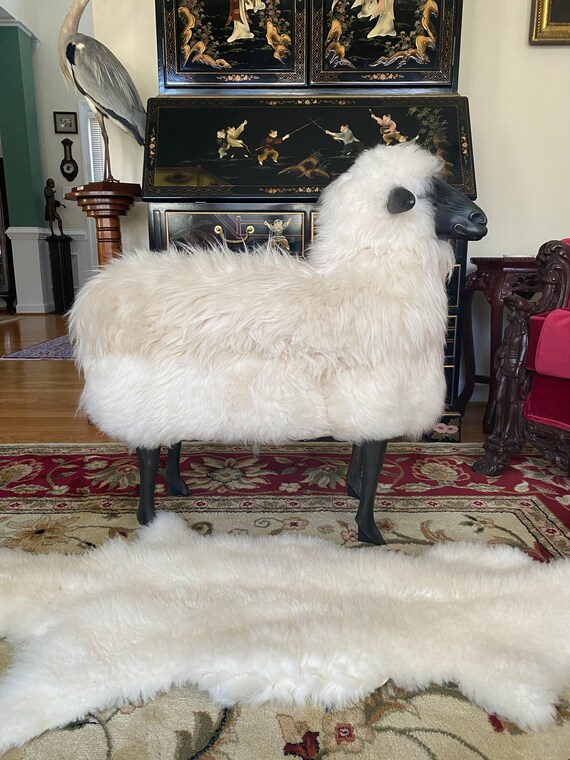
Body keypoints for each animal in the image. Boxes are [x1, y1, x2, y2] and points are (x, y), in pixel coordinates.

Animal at [69, 142, 487, 544]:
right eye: (427, 195)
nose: (480, 219)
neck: (365, 275)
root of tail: (96, 297)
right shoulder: (378, 396)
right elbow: (372, 471)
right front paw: (370, 531)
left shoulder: (361, 400)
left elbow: (359, 453)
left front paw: (351, 488)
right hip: (138, 400)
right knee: (147, 453)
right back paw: (148, 517)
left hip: (175, 396)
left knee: (169, 442)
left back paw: (176, 485)